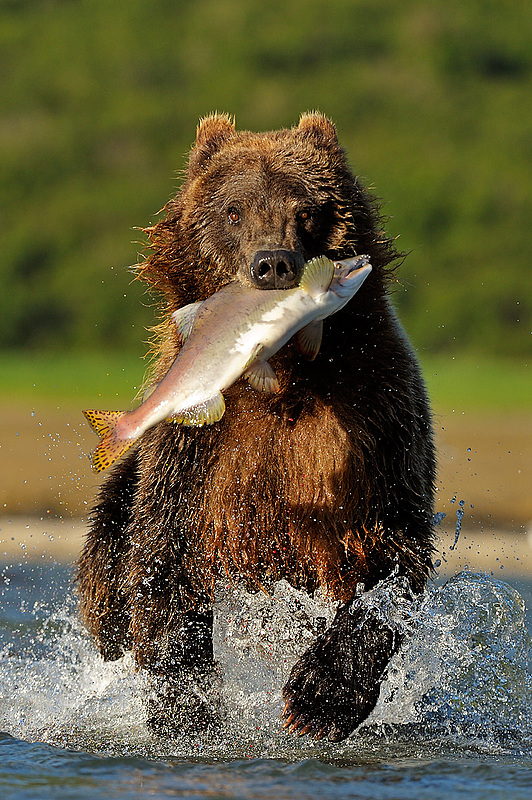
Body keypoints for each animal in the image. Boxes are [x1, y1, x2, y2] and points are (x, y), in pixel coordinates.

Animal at [77, 109, 434, 740]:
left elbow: (391, 556)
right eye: (234, 209)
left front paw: (314, 700)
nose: (273, 264)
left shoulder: (375, 419)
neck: (282, 376)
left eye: (307, 209)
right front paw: (190, 708)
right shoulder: (198, 452)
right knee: (108, 580)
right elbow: (165, 561)